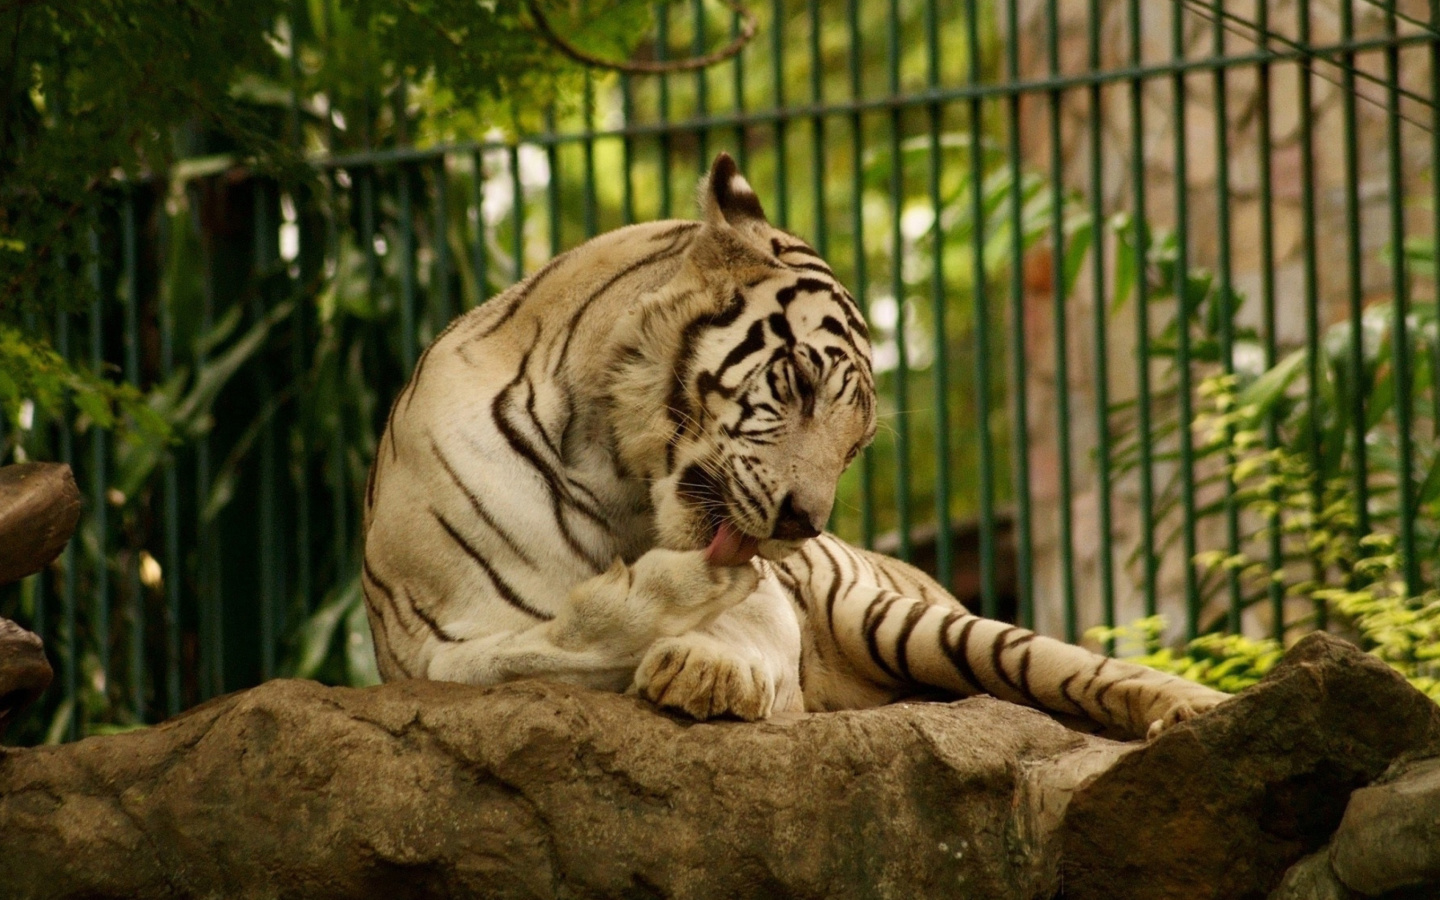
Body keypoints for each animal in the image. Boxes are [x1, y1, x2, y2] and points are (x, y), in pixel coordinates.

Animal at [362, 152, 1226, 737]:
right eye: (803, 384)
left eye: (856, 446)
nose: (802, 525)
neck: (612, 473)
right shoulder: (432, 646)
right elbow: (540, 645)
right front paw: (662, 604)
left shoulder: (774, 604)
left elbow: (741, 626)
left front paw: (704, 667)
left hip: (912, 622)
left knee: (1082, 666)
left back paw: (1195, 713)